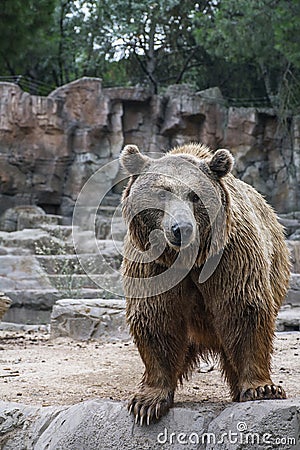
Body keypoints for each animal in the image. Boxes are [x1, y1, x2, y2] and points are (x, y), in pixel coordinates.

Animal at [119, 143, 290, 426]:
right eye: (162, 193)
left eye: (195, 196)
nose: (181, 228)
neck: (187, 259)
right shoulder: (152, 267)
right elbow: (156, 318)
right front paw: (147, 402)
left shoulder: (230, 258)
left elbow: (244, 310)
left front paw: (262, 388)